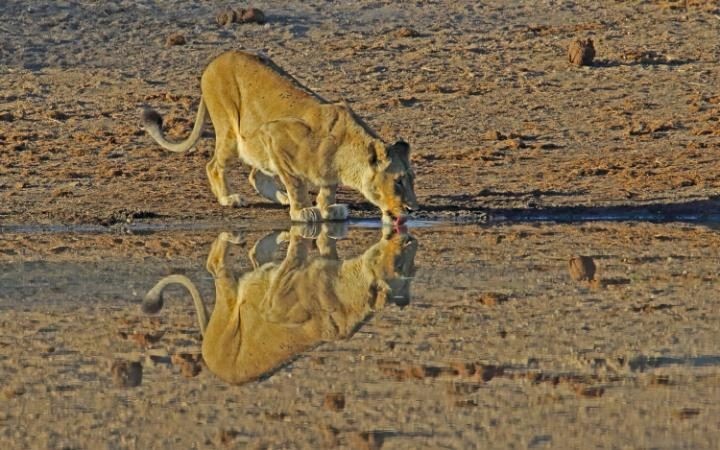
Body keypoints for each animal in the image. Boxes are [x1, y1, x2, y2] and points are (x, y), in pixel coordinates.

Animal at [142, 50, 416, 225]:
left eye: (411, 180)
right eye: (398, 181)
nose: (413, 209)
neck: (345, 157)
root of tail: (215, 60)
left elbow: (327, 189)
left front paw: (327, 208)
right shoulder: (274, 132)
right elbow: (296, 183)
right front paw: (303, 211)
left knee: (255, 174)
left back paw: (280, 197)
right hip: (230, 131)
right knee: (214, 166)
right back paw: (229, 198)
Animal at [142, 227, 416, 384]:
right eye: (407, 265)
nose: (410, 238)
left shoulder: (273, 305)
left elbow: (294, 257)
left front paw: (296, 236)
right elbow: (323, 244)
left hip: (228, 309)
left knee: (215, 263)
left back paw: (234, 238)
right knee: (253, 259)